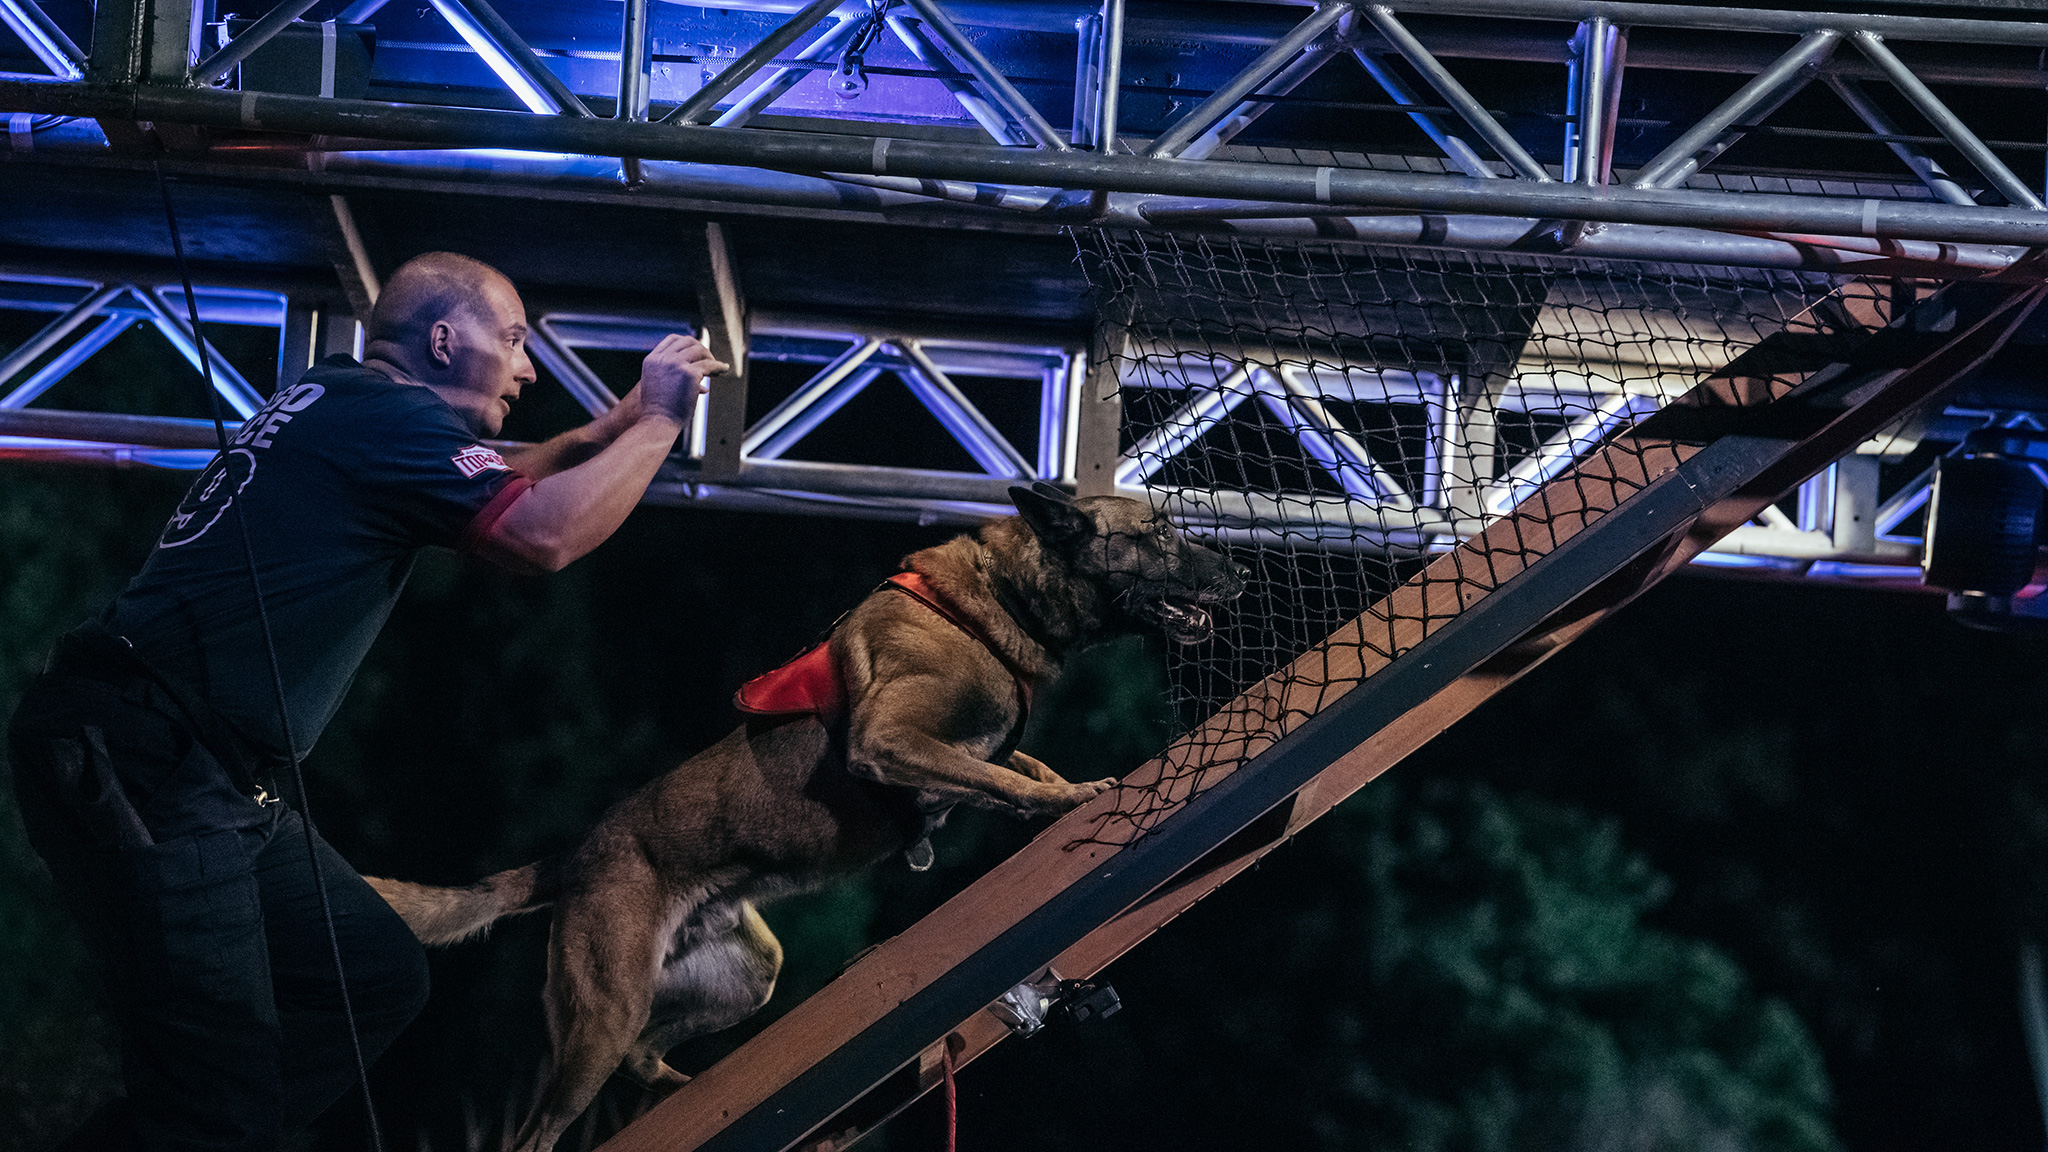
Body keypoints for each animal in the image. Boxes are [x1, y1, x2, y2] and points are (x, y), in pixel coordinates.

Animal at [368, 479, 1245, 1139]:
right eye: (1161, 532)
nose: (1237, 570)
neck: (997, 604)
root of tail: (574, 855)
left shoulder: (968, 749)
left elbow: (1012, 764)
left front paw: (1062, 783)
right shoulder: (890, 737)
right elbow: (1012, 781)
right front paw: (1066, 799)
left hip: (747, 974)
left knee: (646, 1059)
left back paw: (690, 1090)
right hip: (602, 1014)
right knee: (545, 1127)